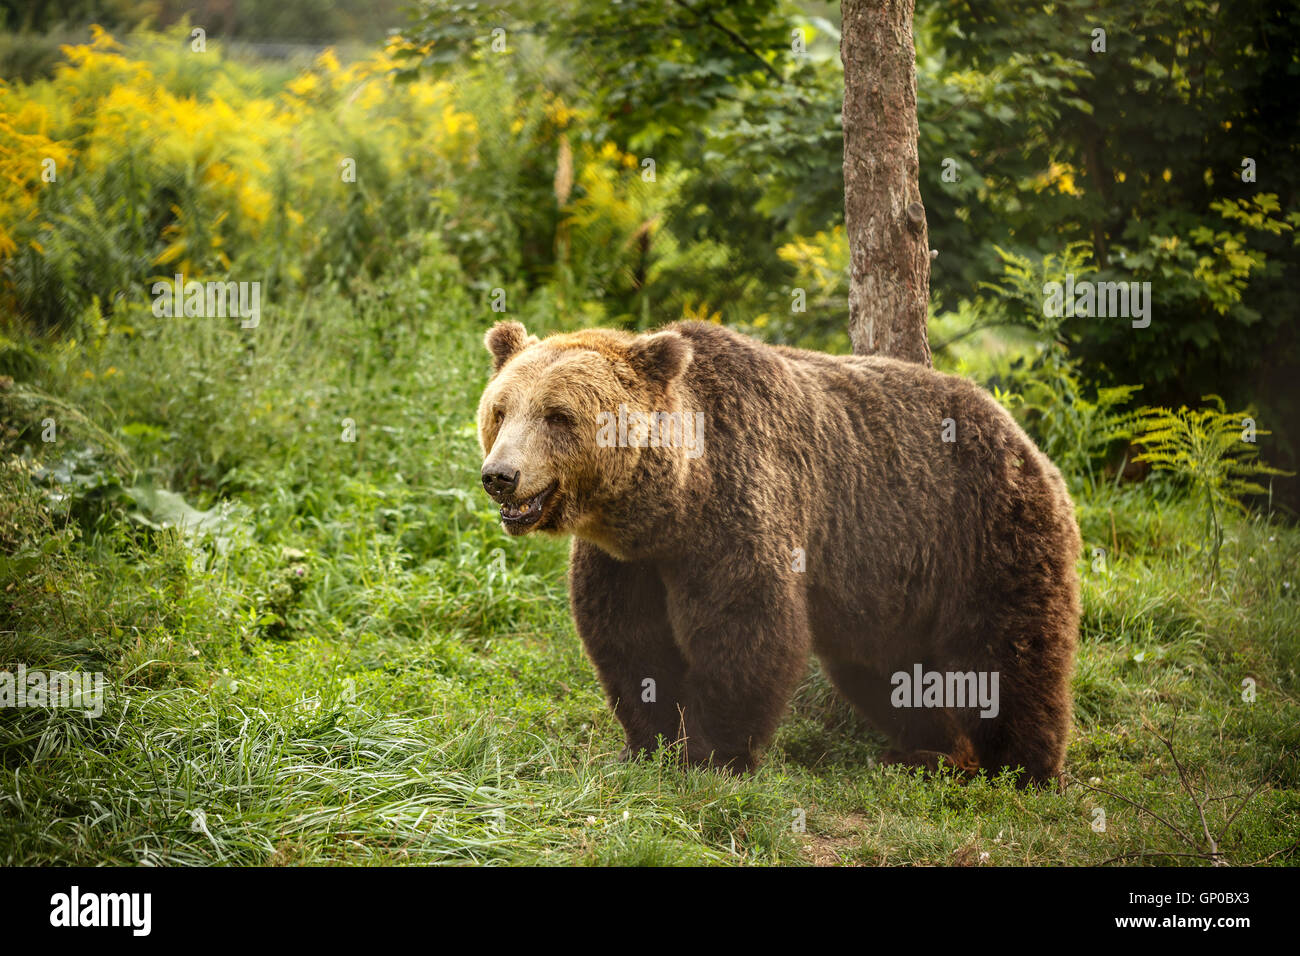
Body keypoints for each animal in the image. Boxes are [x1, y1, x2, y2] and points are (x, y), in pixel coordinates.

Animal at [476, 319, 1081, 784]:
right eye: (501, 410)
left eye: (558, 415)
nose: (500, 476)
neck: (670, 506)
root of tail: (1025, 438)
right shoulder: (627, 561)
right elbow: (630, 642)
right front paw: (648, 745)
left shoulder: (736, 513)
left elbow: (746, 629)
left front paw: (714, 755)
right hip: (893, 583)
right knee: (889, 670)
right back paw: (926, 751)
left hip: (982, 530)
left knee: (1006, 654)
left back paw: (1022, 769)